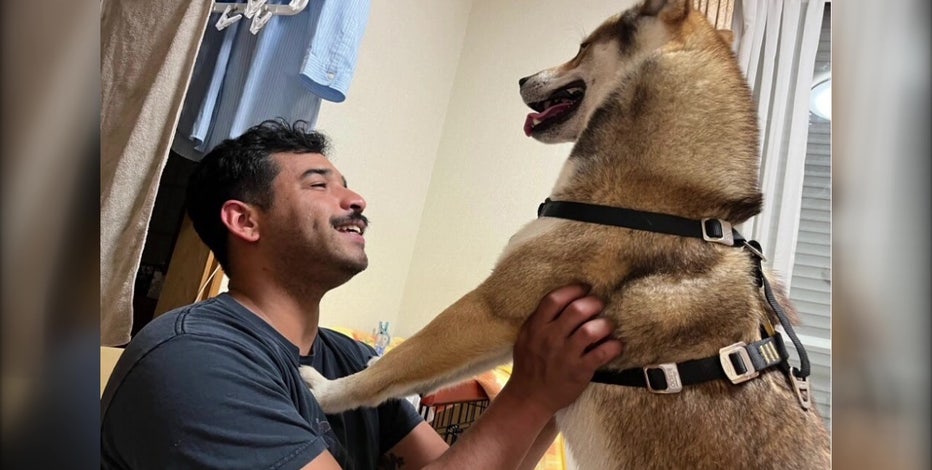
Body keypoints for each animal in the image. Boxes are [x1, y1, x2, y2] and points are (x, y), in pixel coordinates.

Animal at [304, 1, 832, 468]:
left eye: (581, 48)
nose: (521, 78)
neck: (664, 203)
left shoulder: (492, 306)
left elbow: (398, 365)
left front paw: (327, 391)